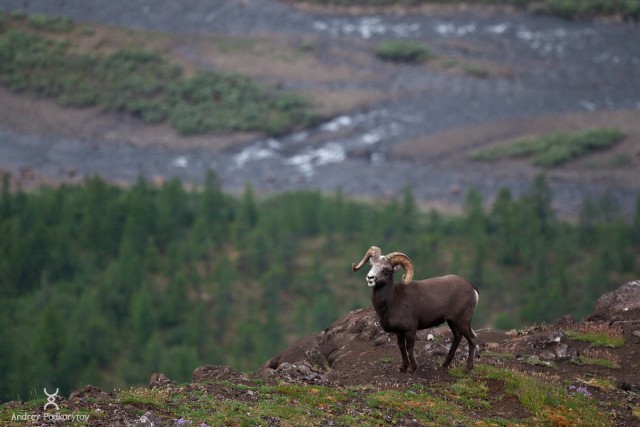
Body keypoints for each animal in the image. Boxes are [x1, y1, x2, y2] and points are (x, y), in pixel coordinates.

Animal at [350, 246, 480, 372]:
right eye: (371, 265)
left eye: (386, 269)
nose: (370, 278)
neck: (392, 301)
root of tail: (472, 288)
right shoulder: (399, 333)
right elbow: (401, 347)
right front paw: (403, 367)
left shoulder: (410, 330)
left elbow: (409, 348)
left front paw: (412, 368)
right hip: (452, 321)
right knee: (457, 337)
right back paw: (444, 364)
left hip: (462, 321)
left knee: (472, 339)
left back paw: (468, 368)